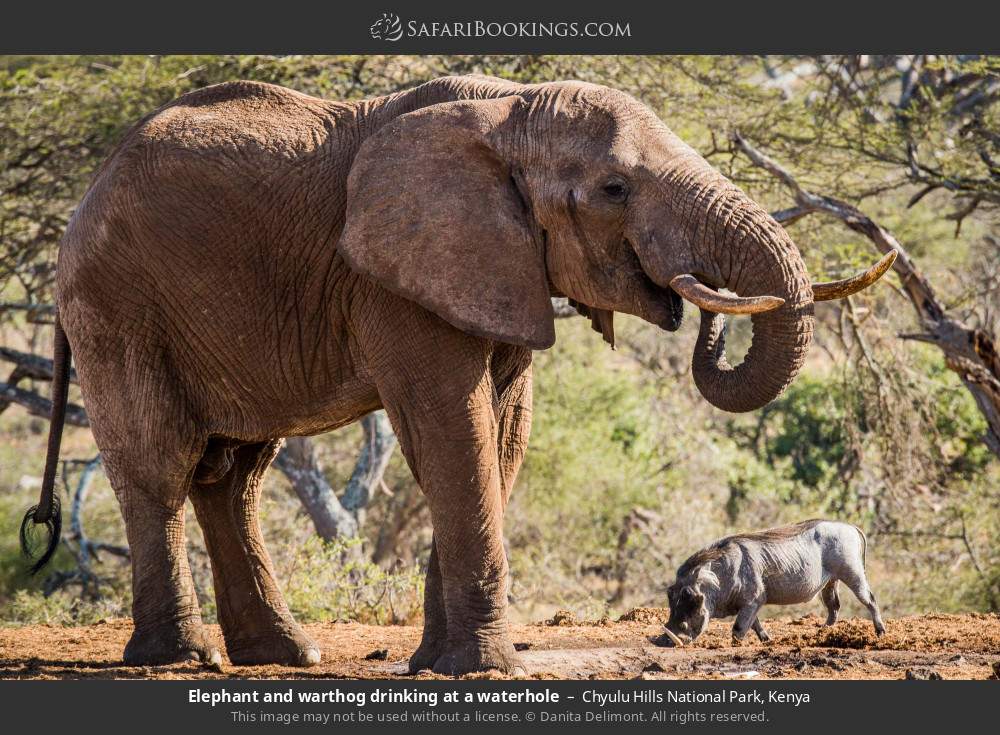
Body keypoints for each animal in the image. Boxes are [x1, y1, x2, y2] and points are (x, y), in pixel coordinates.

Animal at [21, 73, 892, 672]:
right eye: (615, 189)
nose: (700, 302)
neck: (509, 111)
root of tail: (83, 200)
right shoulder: (391, 278)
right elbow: (451, 427)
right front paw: (485, 669)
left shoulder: (498, 266)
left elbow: (499, 435)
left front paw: (436, 666)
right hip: (117, 304)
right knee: (160, 465)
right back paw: (182, 658)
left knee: (233, 475)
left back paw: (286, 654)